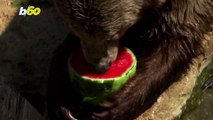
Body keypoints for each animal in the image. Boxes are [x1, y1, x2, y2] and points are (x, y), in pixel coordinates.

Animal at [47, 0, 213, 119]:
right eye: (78, 32)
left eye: (114, 34)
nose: (100, 67)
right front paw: (63, 98)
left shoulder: (184, 9)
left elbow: (175, 43)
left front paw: (113, 106)